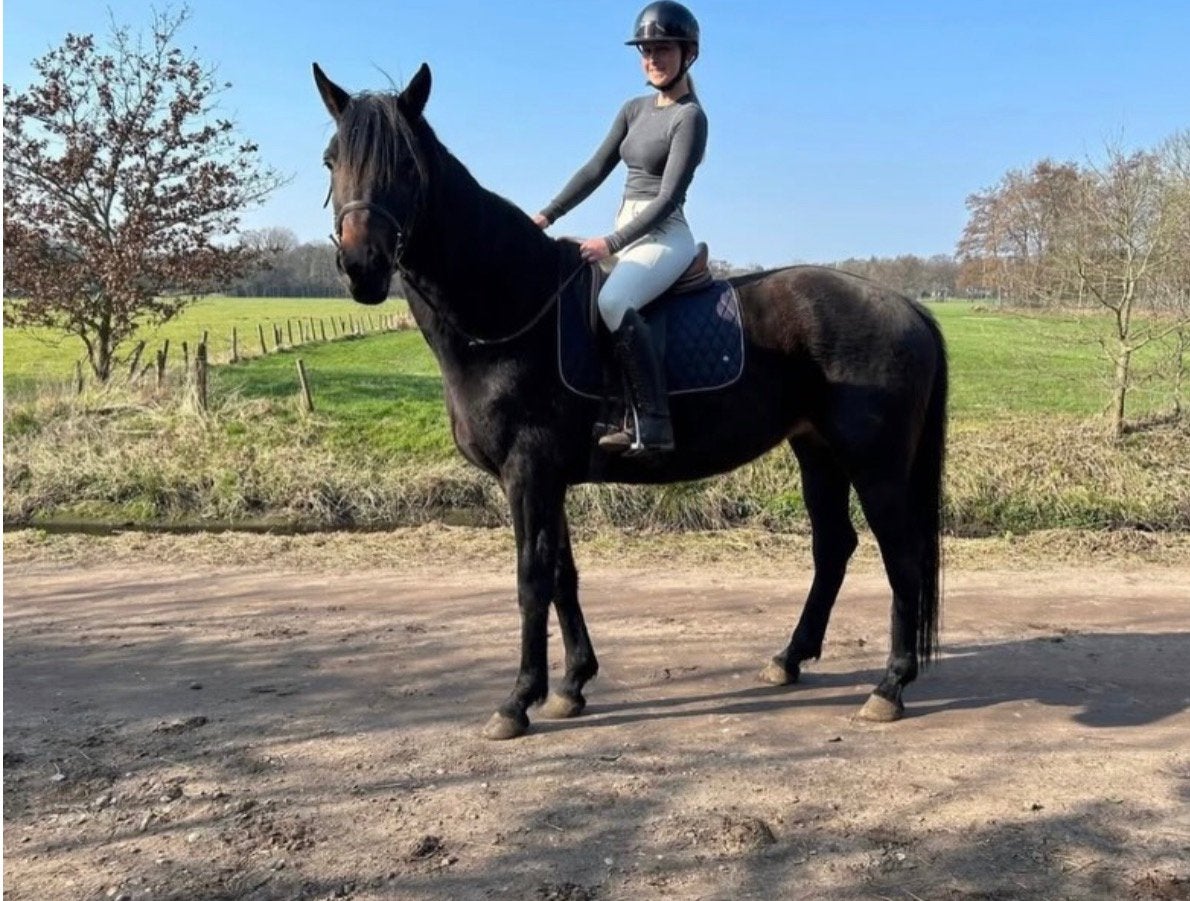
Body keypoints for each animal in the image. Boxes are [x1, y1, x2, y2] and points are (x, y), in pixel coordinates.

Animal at [312, 62, 948, 740]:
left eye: (406, 166)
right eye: (331, 159)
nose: (361, 265)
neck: (514, 305)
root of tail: (906, 307)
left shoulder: (528, 473)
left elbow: (532, 580)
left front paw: (518, 700)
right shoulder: (547, 478)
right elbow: (563, 576)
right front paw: (571, 685)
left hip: (875, 466)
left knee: (901, 555)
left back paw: (889, 686)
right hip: (817, 453)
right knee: (834, 547)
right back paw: (789, 658)